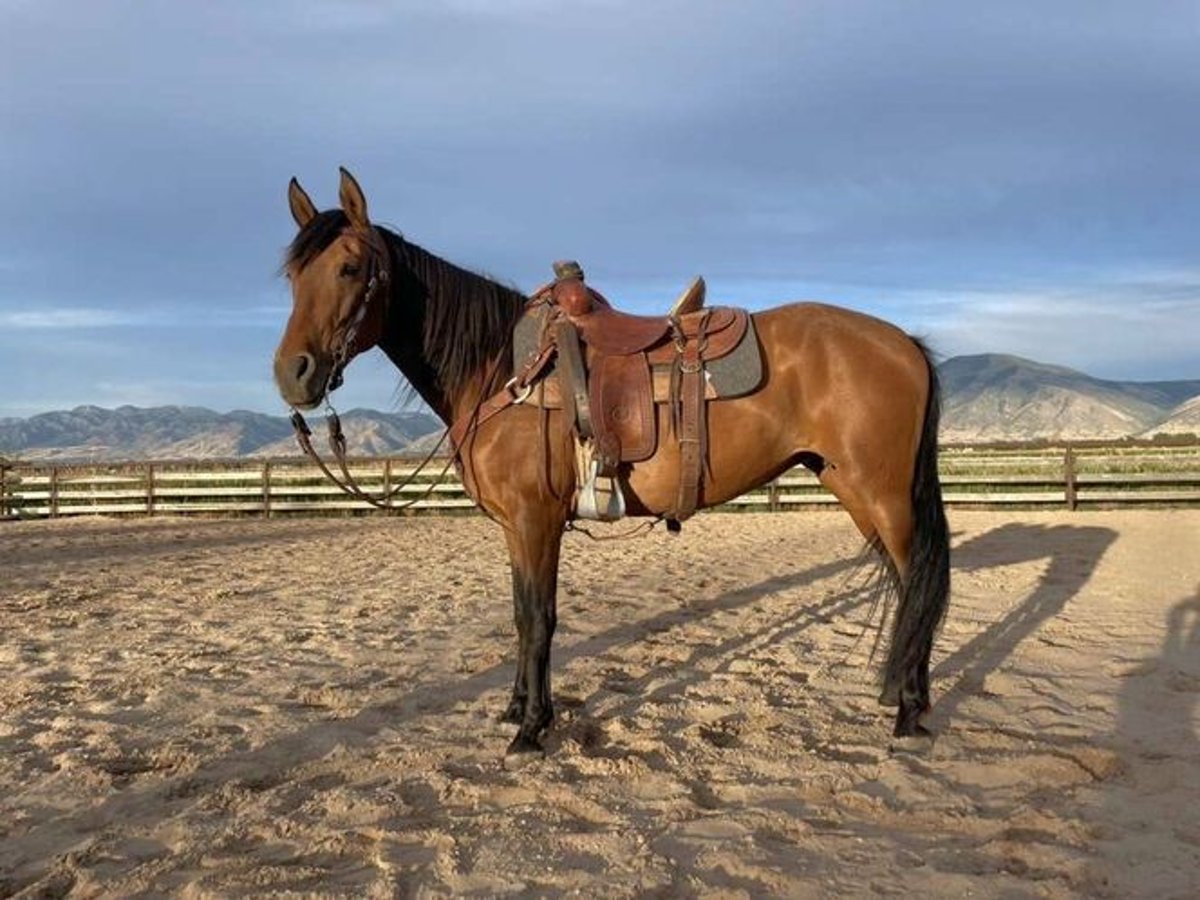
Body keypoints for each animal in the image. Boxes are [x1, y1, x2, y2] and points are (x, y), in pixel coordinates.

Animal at [276, 168, 950, 753]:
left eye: (349, 268)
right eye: (292, 277)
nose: (292, 374)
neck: (502, 369)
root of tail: (904, 344)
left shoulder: (537, 521)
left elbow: (539, 619)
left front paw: (532, 729)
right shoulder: (516, 528)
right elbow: (520, 613)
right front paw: (516, 708)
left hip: (882, 495)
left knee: (916, 580)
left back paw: (910, 711)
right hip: (851, 488)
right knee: (906, 584)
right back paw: (901, 696)